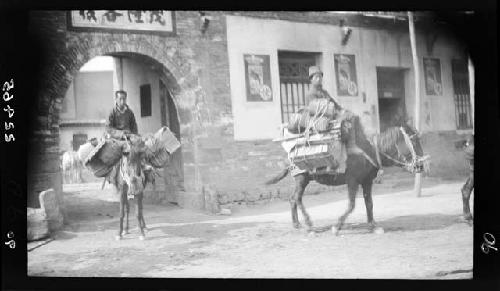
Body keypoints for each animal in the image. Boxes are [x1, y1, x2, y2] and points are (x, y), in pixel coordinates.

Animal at [266, 115, 426, 236]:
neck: (370, 150)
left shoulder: (367, 182)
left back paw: (297, 224)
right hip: (302, 178)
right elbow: (351, 204)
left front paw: (373, 226)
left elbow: (369, 203)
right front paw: (337, 226)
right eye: (413, 141)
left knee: (292, 199)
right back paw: (309, 225)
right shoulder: (352, 181)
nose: (421, 166)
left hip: (302, 180)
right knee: (296, 198)